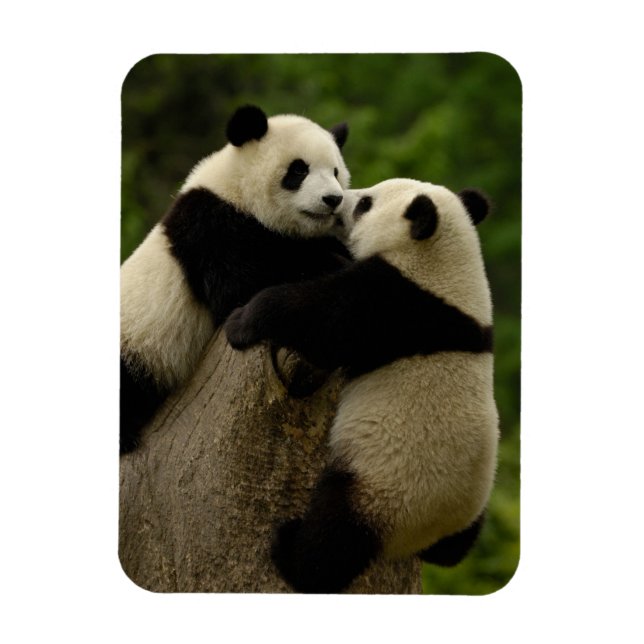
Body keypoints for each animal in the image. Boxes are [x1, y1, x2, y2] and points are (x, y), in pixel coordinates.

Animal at [120, 105, 351, 455]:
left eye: (336, 171)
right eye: (298, 170)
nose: (333, 199)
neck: (236, 189)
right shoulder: (210, 228)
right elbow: (243, 286)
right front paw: (331, 264)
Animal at [224, 178, 499, 593]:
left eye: (365, 204)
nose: (337, 201)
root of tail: (423, 537)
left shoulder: (397, 304)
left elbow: (321, 320)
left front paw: (242, 322)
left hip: (378, 488)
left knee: (333, 537)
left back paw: (291, 552)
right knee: (456, 550)